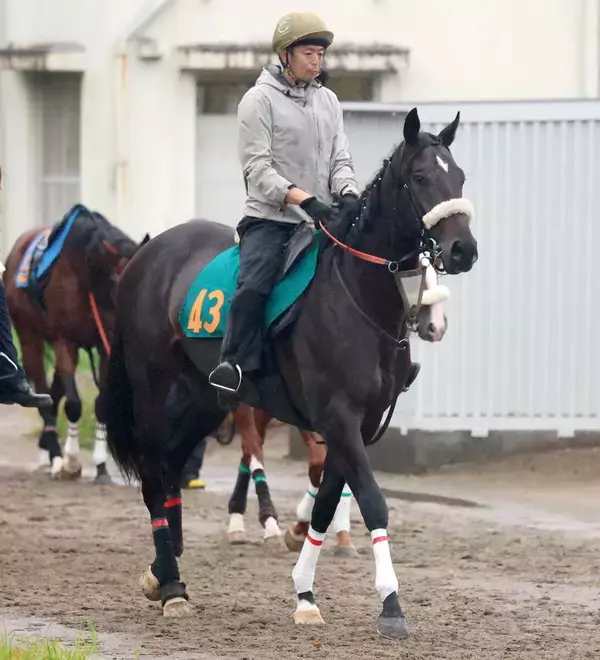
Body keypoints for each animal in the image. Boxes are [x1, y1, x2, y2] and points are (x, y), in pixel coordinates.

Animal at [3, 205, 145, 483]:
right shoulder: (64, 340)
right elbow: (74, 404)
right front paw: (69, 462)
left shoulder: (104, 342)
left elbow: (101, 405)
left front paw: (101, 466)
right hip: (29, 336)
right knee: (43, 391)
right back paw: (55, 457)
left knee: (53, 392)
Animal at [225, 260, 451, 557]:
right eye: (421, 282)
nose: (437, 327)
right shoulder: (325, 412)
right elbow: (323, 466)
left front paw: (325, 534)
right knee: (251, 444)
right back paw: (254, 524)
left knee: (251, 446)